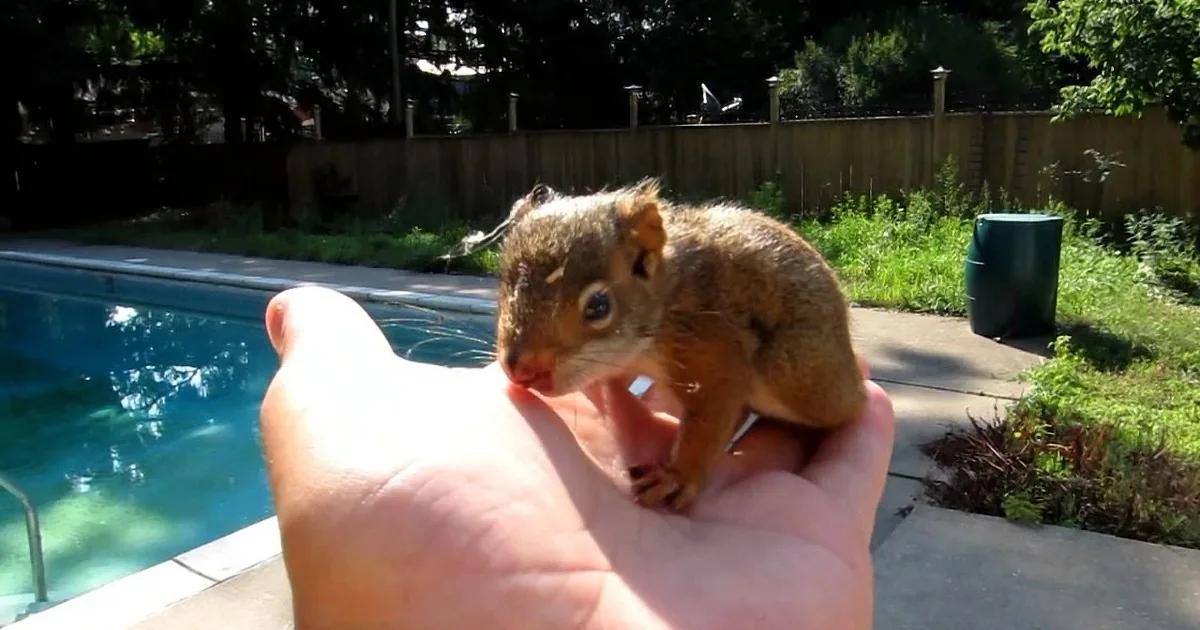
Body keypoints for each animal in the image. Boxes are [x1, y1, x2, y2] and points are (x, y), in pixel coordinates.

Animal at [492, 178, 867, 514]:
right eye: (503, 285)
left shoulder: (714, 351)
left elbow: (708, 422)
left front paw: (676, 477)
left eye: (599, 306)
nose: (522, 369)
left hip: (798, 374)